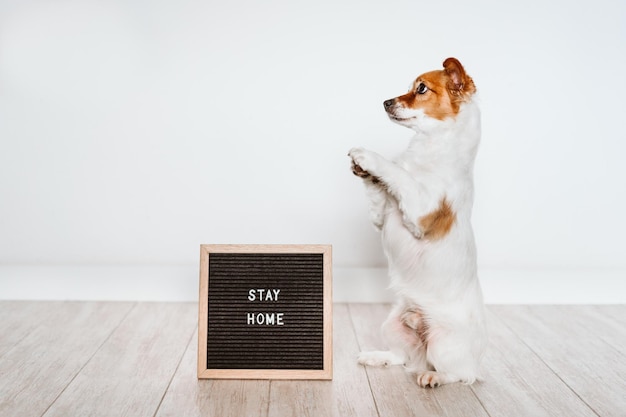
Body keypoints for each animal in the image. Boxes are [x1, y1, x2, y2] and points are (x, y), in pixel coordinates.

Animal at [348, 57, 486, 386]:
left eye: (421, 89)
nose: (385, 102)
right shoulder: (382, 216)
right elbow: (380, 191)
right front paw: (364, 171)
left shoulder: (420, 211)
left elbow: (398, 174)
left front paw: (368, 157)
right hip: (392, 325)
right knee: (402, 357)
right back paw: (376, 356)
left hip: (444, 343)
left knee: (459, 374)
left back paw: (433, 378)